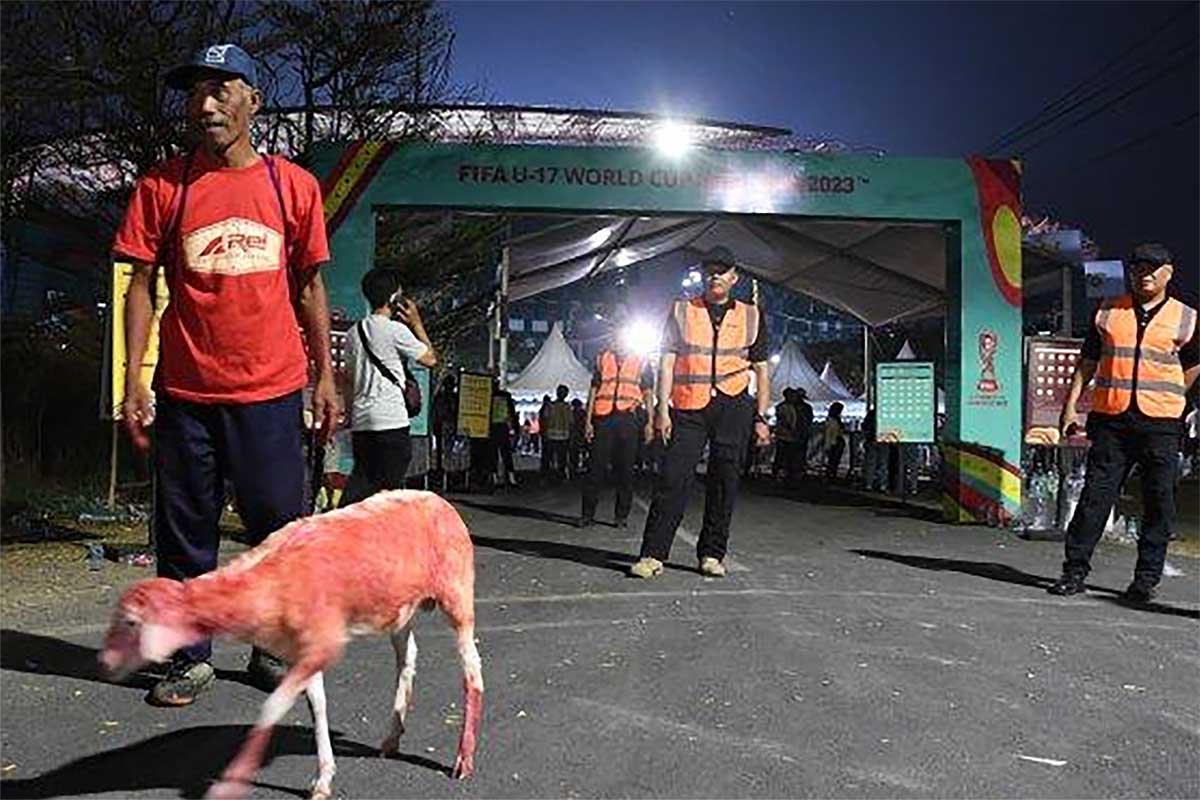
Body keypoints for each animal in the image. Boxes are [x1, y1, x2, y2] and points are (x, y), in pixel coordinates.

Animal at [98, 491, 482, 800]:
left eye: (131, 622)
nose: (105, 663)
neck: (266, 587)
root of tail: (438, 499)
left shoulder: (323, 642)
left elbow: (273, 706)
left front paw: (230, 783)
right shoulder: (304, 650)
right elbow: (317, 706)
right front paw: (323, 780)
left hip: (457, 590)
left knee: (472, 670)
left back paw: (463, 760)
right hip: (399, 610)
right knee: (408, 658)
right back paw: (391, 739)